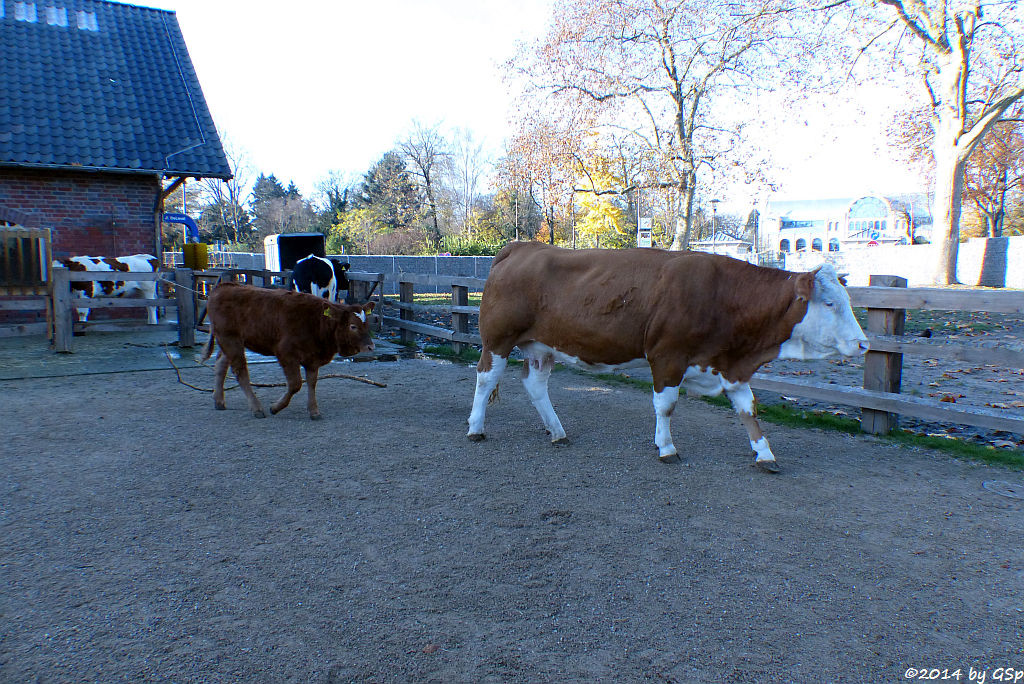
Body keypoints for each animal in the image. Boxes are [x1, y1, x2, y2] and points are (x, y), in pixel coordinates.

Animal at [195, 280, 376, 419]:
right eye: (353, 326)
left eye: (366, 323)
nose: (370, 346)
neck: (316, 321)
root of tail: (223, 287)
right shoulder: (286, 354)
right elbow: (295, 384)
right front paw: (276, 407)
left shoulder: (313, 358)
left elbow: (312, 382)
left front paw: (314, 410)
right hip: (230, 340)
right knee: (240, 372)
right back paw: (256, 407)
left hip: (231, 342)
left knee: (220, 365)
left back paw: (219, 400)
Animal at [468, 242, 868, 473]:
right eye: (829, 303)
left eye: (847, 300)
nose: (864, 344)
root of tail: (522, 245)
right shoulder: (667, 356)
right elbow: (666, 405)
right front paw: (666, 447)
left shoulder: (730, 365)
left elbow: (748, 410)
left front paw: (765, 454)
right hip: (498, 339)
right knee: (486, 378)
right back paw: (476, 428)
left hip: (542, 346)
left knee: (536, 385)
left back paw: (557, 431)